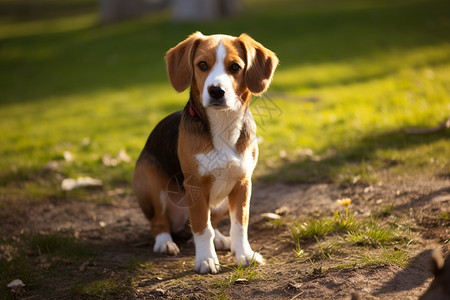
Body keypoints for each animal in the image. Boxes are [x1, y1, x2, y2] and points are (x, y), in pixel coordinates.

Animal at [134, 31, 278, 274]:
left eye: (235, 67)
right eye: (202, 65)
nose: (216, 91)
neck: (223, 125)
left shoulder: (243, 183)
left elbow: (239, 225)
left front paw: (244, 254)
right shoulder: (195, 186)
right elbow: (202, 227)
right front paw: (205, 260)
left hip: (221, 201)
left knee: (213, 223)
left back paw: (220, 238)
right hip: (152, 184)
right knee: (160, 222)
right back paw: (165, 242)